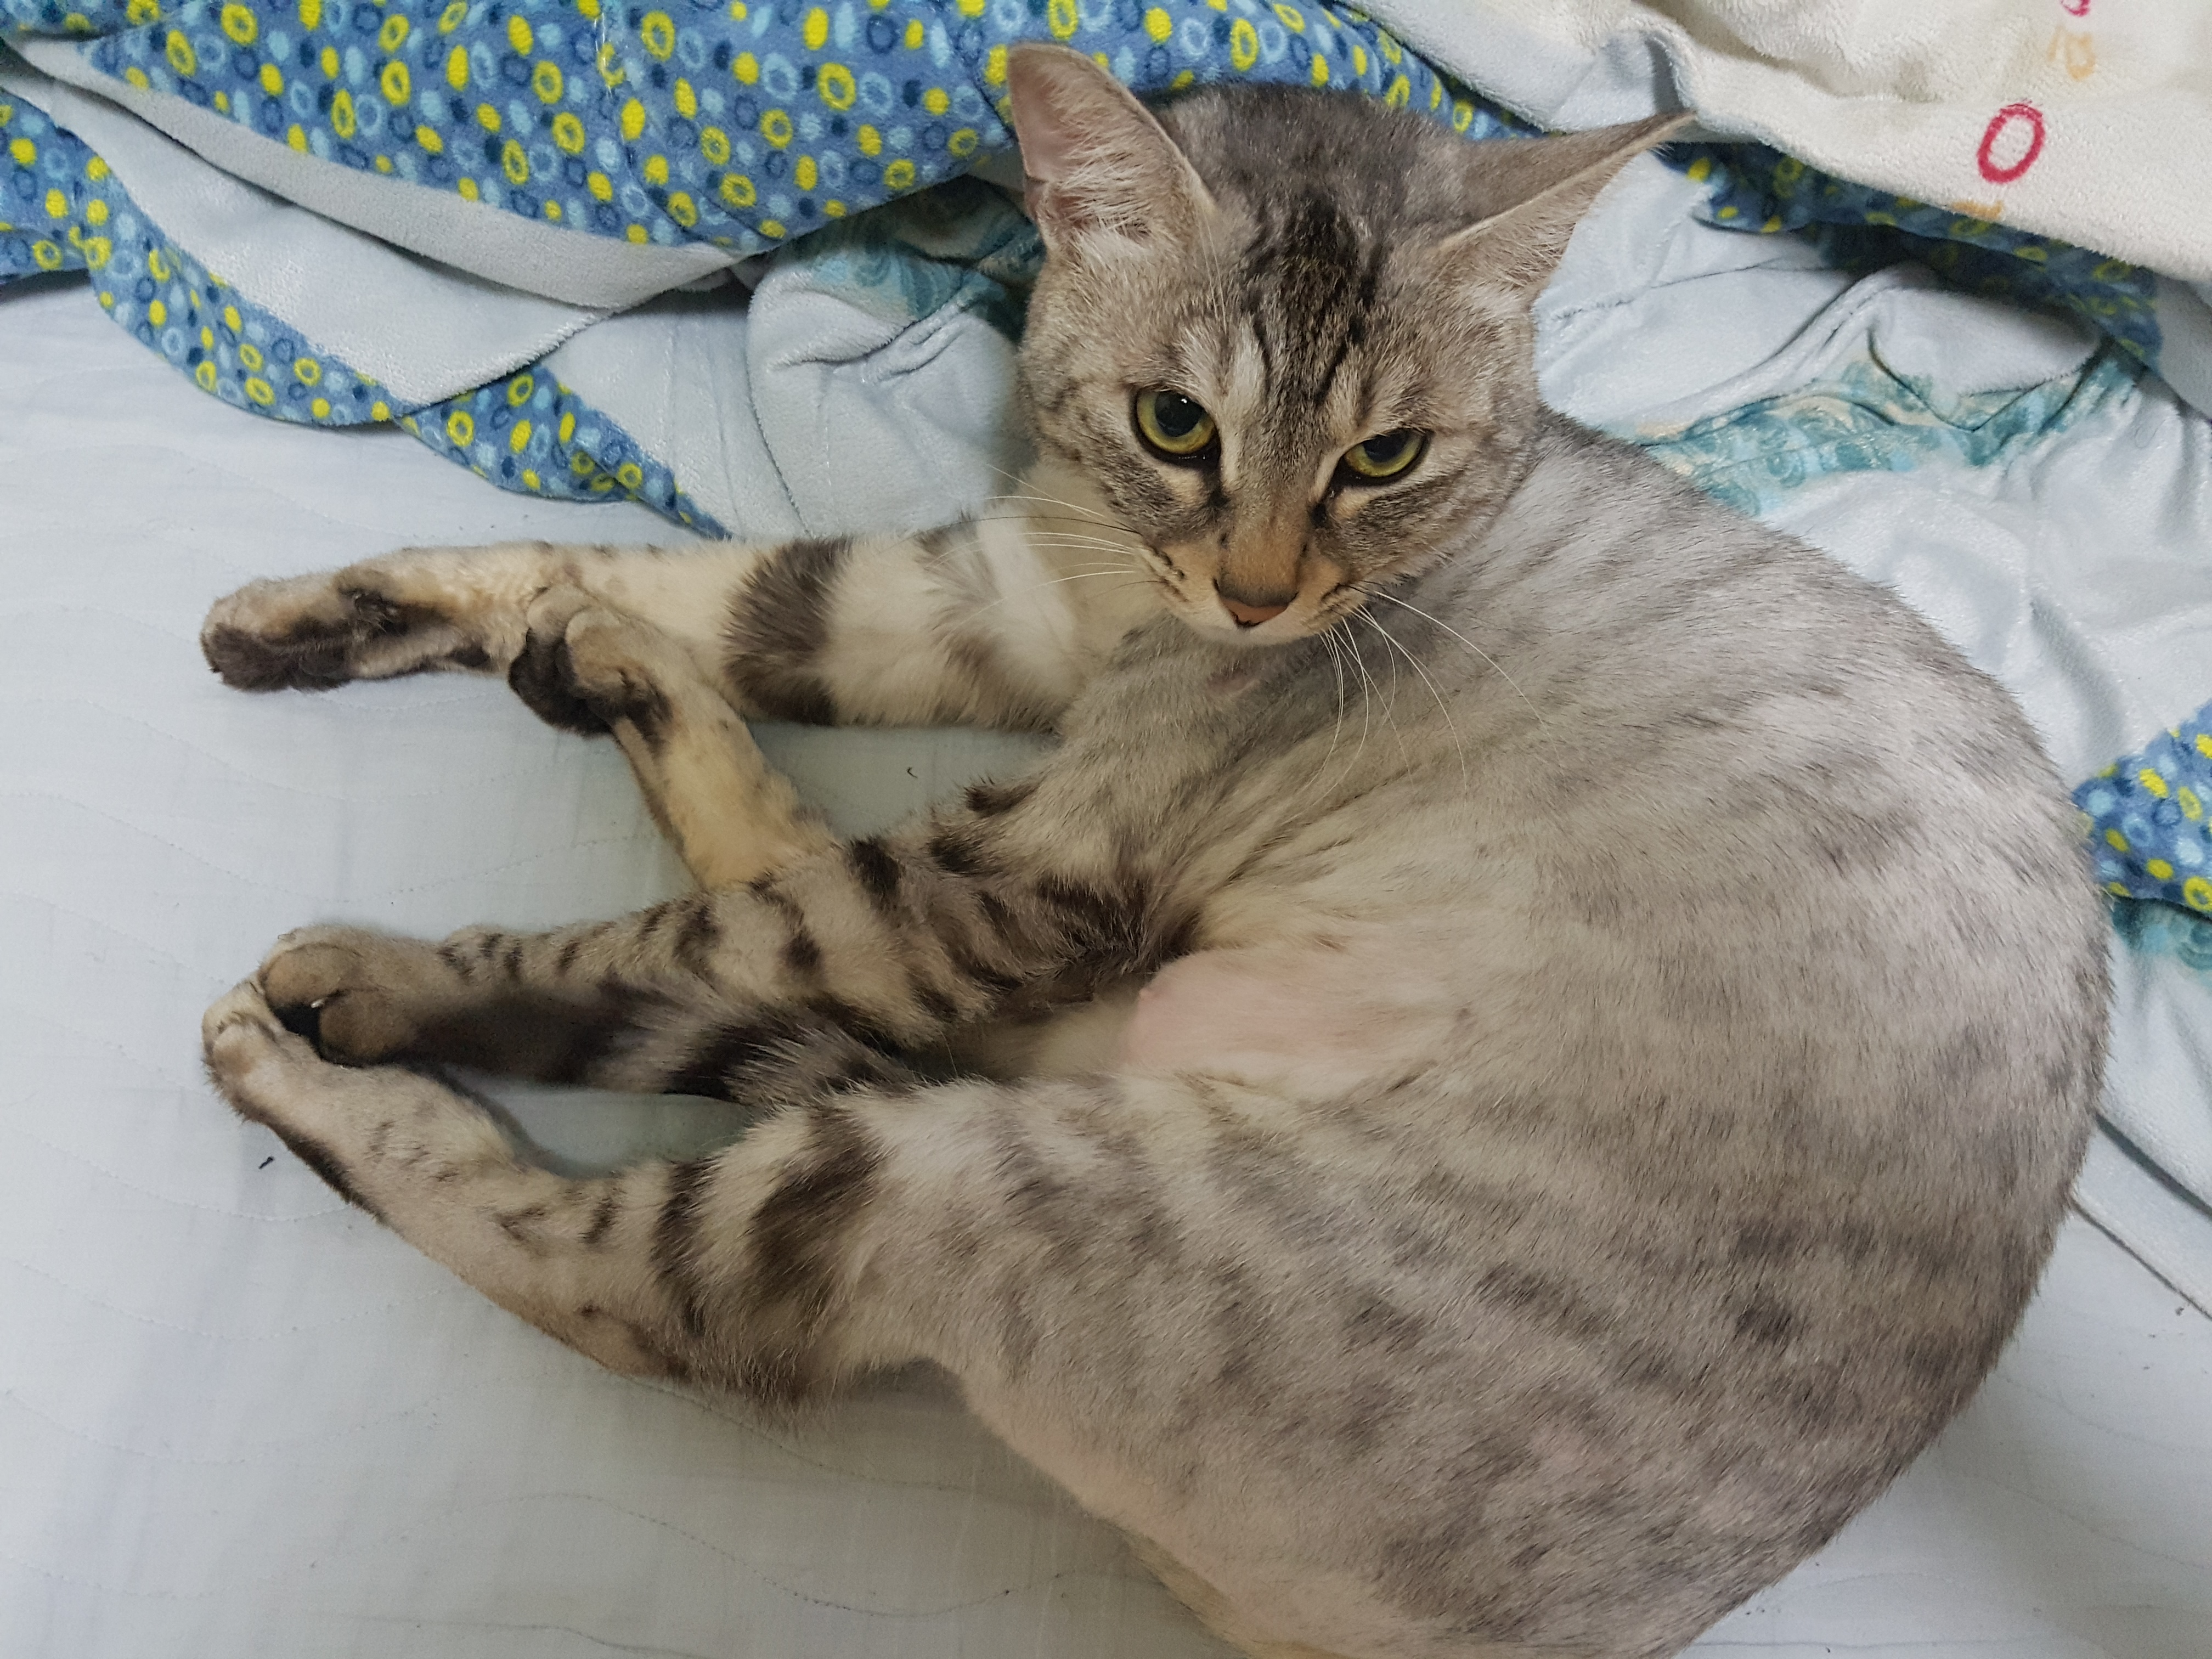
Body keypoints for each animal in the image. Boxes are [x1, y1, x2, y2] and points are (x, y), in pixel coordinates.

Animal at [194, 44, 2107, 1659]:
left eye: (1384, 457)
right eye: (1177, 424)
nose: (1257, 595)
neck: (1125, 588)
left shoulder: (1026, 872)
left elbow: (647, 947)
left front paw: (400, 969)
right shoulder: (977, 608)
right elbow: (688, 582)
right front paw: (331, 612)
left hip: (969, 1171)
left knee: (635, 1265)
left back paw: (309, 1057)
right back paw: (600, 673)